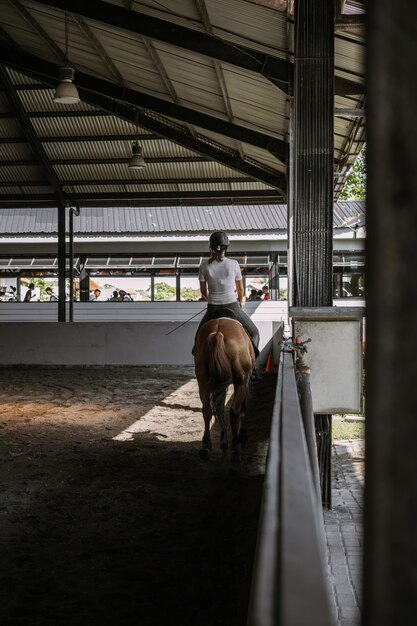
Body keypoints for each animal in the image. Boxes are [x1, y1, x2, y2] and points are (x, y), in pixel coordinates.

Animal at [193, 316, 255, 458]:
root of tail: (217, 334)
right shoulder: (245, 383)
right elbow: (242, 406)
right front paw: (242, 433)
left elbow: (219, 408)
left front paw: (223, 440)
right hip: (241, 382)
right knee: (234, 411)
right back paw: (236, 443)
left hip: (203, 383)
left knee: (207, 410)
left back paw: (207, 444)